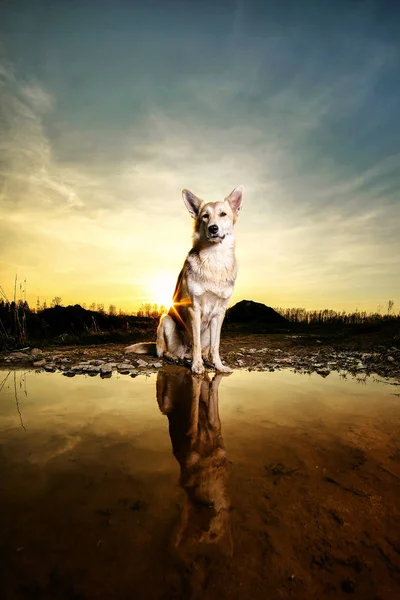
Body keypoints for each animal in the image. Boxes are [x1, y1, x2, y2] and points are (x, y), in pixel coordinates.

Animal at [125, 185, 244, 372]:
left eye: (223, 214)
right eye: (205, 216)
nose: (213, 228)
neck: (214, 259)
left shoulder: (219, 313)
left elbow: (216, 345)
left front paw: (219, 366)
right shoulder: (194, 309)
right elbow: (196, 342)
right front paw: (197, 366)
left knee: (204, 348)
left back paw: (204, 358)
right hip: (166, 321)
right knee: (164, 352)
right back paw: (177, 358)